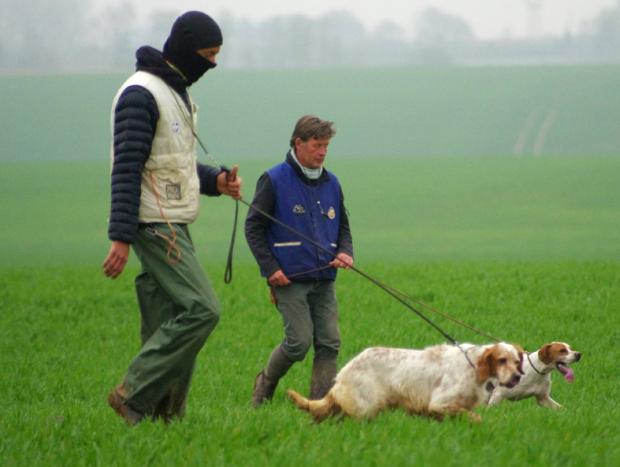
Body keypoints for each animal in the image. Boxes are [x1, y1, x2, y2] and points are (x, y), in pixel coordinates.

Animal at [288, 344, 520, 424]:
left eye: (517, 361)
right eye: (502, 360)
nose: (517, 376)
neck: (473, 365)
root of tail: (343, 372)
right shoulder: (440, 403)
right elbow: (475, 417)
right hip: (364, 407)